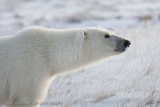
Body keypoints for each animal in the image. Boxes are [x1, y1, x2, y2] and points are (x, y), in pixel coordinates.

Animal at [0, 26, 130, 106]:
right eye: (106, 35)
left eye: (112, 32)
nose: (126, 42)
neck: (48, 53)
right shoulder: (29, 70)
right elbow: (27, 98)